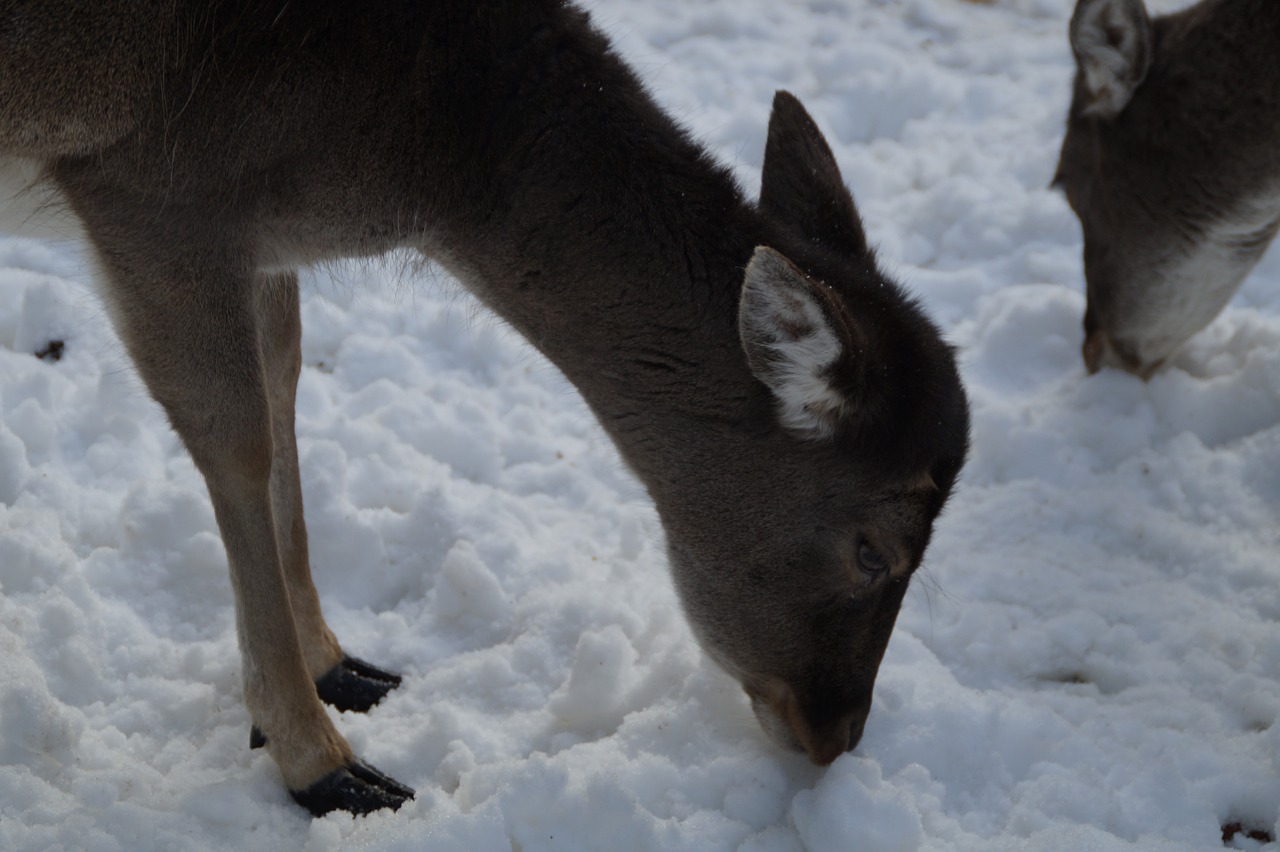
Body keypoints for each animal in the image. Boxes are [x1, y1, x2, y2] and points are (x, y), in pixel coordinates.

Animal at [0, 0, 967, 813]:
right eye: (874, 553)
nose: (836, 735)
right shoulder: (151, 199)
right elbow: (237, 442)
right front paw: (325, 765)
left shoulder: (260, 249)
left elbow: (285, 391)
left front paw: (339, 666)